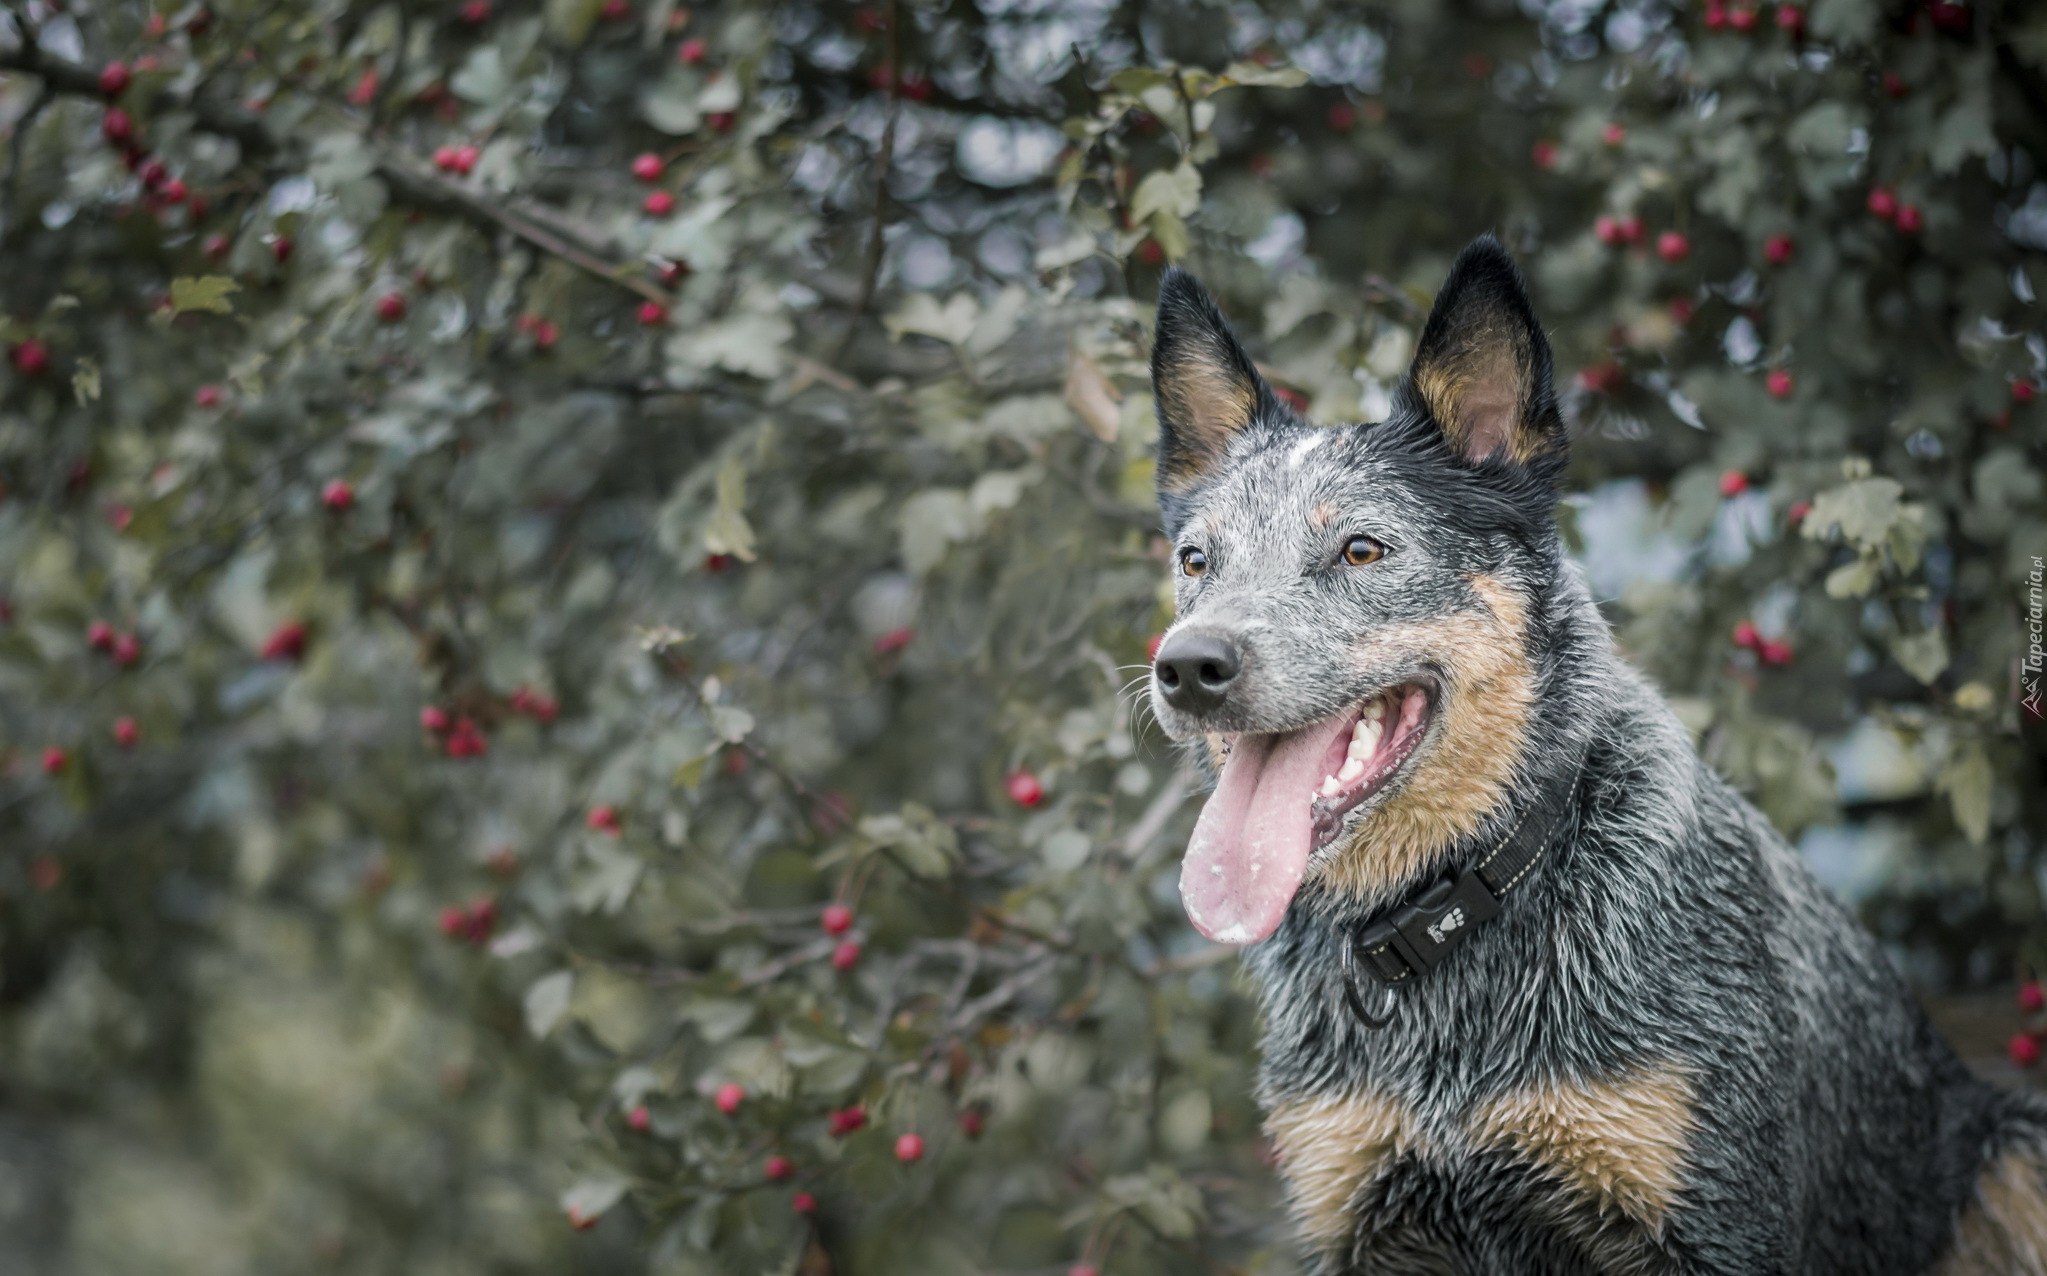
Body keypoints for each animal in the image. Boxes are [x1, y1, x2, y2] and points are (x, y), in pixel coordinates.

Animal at [1146, 234, 2046, 1269]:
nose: (1188, 667)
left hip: (2016, 1149)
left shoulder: (1706, 1220)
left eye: (1363, 550)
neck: (1455, 917)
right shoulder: (1360, 1213)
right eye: (1196, 560)